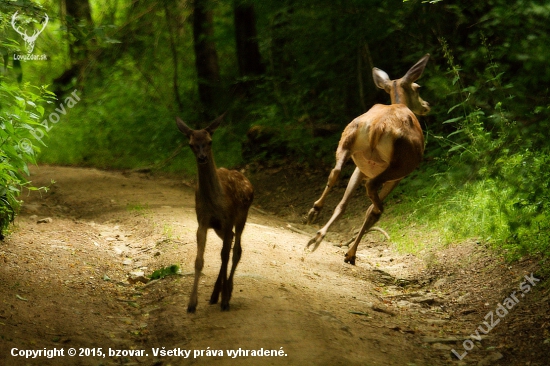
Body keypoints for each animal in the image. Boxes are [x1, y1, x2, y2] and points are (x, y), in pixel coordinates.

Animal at [177, 114, 254, 312]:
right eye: (191, 144)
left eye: (210, 141)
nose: (202, 157)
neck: (215, 202)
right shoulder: (203, 222)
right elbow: (199, 260)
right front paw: (191, 304)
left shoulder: (227, 220)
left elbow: (225, 256)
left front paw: (225, 300)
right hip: (220, 227)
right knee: (232, 243)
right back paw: (215, 295)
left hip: (241, 216)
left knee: (236, 250)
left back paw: (226, 293)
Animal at [306, 53, 432, 264]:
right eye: (417, 87)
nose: (426, 105)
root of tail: (379, 126)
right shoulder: (398, 178)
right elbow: (367, 210)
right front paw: (350, 254)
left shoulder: (361, 168)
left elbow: (343, 203)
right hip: (398, 164)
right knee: (372, 195)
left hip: (348, 140)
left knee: (336, 173)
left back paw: (315, 222)